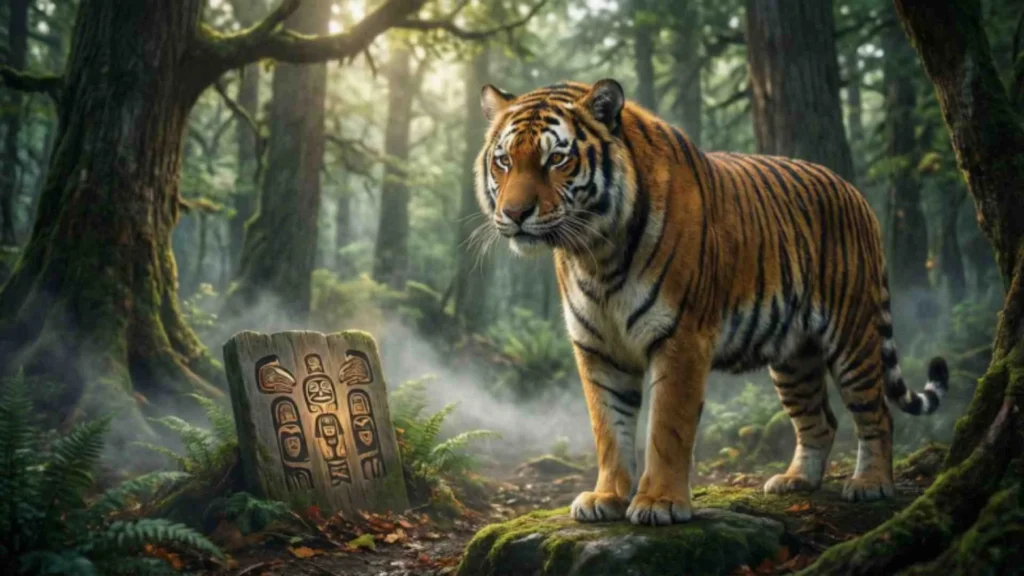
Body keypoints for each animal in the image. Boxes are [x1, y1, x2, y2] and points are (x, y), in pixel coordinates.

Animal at [473, 79, 949, 526]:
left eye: (556, 159)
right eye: (504, 160)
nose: (515, 214)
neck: (596, 253)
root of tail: (854, 193)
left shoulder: (681, 338)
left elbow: (667, 427)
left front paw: (659, 503)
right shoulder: (597, 346)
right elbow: (608, 427)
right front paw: (606, 498)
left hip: (851, 334)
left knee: (877, 412)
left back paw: (871, 484)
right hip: (794, 356)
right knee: (821, 419)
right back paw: (795, 481)